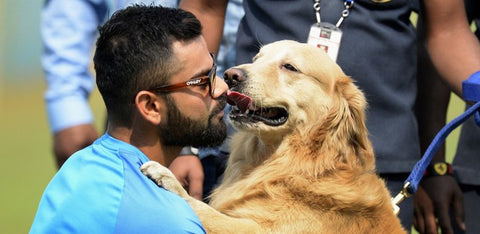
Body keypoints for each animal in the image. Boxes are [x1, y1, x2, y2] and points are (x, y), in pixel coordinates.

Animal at [142, 40, 404, 234]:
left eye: (289, 67)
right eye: (257, 58)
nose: (230, 75)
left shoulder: (255, 229)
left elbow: (206, 212)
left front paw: (169, 179)